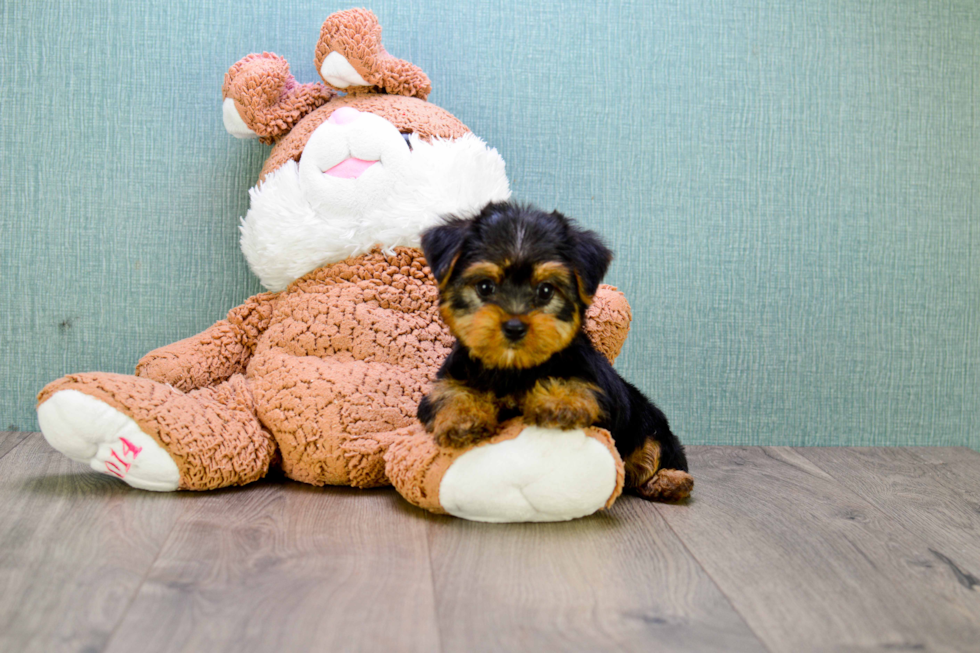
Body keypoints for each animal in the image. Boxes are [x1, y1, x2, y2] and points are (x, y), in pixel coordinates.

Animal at [418, 201, 692, 502]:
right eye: (485, 287)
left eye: (546, 290)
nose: (514, 326)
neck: (514, 367)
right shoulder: (451, 375)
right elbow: (450, 393)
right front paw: (463, 418)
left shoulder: (595, 383)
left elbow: (579, 384)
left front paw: (559, 402)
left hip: (649, 424)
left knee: (656, 453)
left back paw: (670, 482)